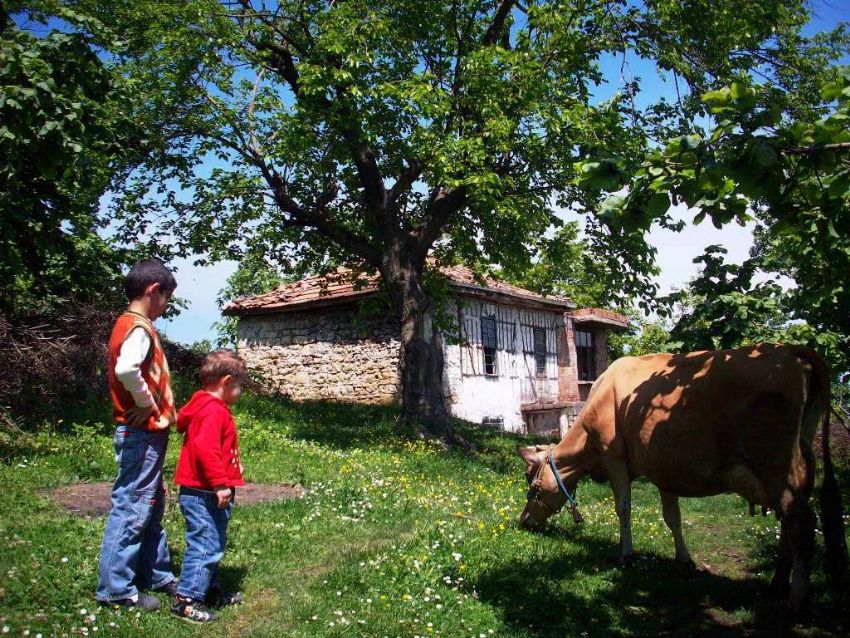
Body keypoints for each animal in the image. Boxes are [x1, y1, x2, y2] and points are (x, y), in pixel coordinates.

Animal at [512, 344, 844, 616]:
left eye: (535, 488)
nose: (524, 521)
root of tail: (793, 350)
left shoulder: (614, 457)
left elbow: (624, 508)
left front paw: (625, 554)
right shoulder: (664, 468)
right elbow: (672, 517)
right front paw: (684, 562)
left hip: (777, 465)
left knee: (800, 523)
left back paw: (795, 599)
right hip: (796, 468)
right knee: (788, 522)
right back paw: (776, 585)